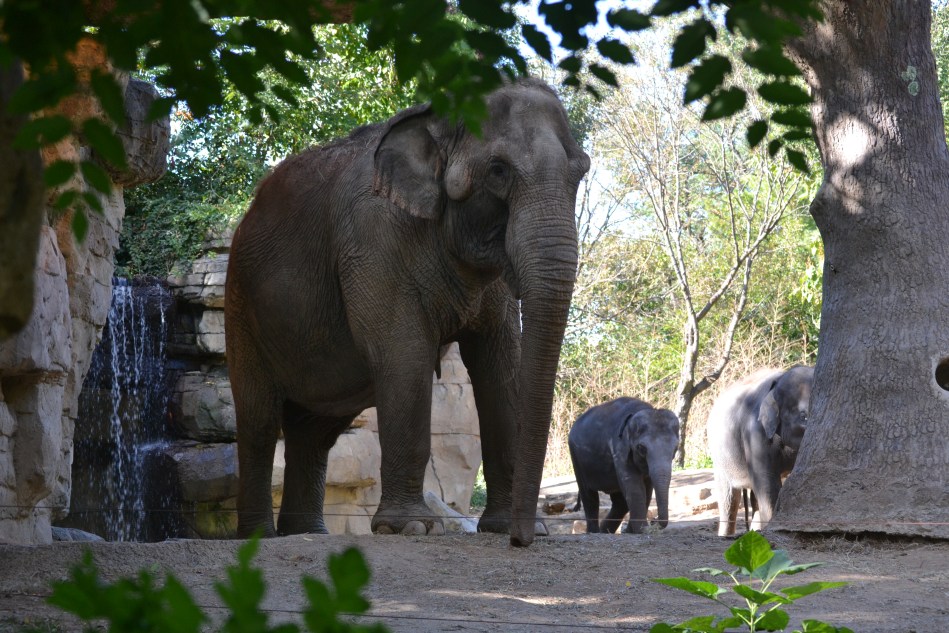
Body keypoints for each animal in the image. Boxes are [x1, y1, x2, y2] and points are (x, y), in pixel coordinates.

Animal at [224, 78, 590, 547]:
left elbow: (499, 363)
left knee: (315, 431)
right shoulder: (373, 241)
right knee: (259, 419)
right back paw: (260, 538)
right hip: (240, 303)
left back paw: (307, 534)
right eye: (498, 170)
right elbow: (405, 355)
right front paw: (411, 527)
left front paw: (505, 527)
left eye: (580, 171)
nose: (522, 540)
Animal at [568, 398, 680, 534]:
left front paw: (633, 531)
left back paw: (605, 531)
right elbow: (634, 485)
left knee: (619, 503)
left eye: (676, 448)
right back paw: (594, 531)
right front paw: (641, 530)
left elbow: (648, 488)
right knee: (589, 496)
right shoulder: (619, 447)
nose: (654, 520)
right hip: (576, 457)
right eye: (641, 448)